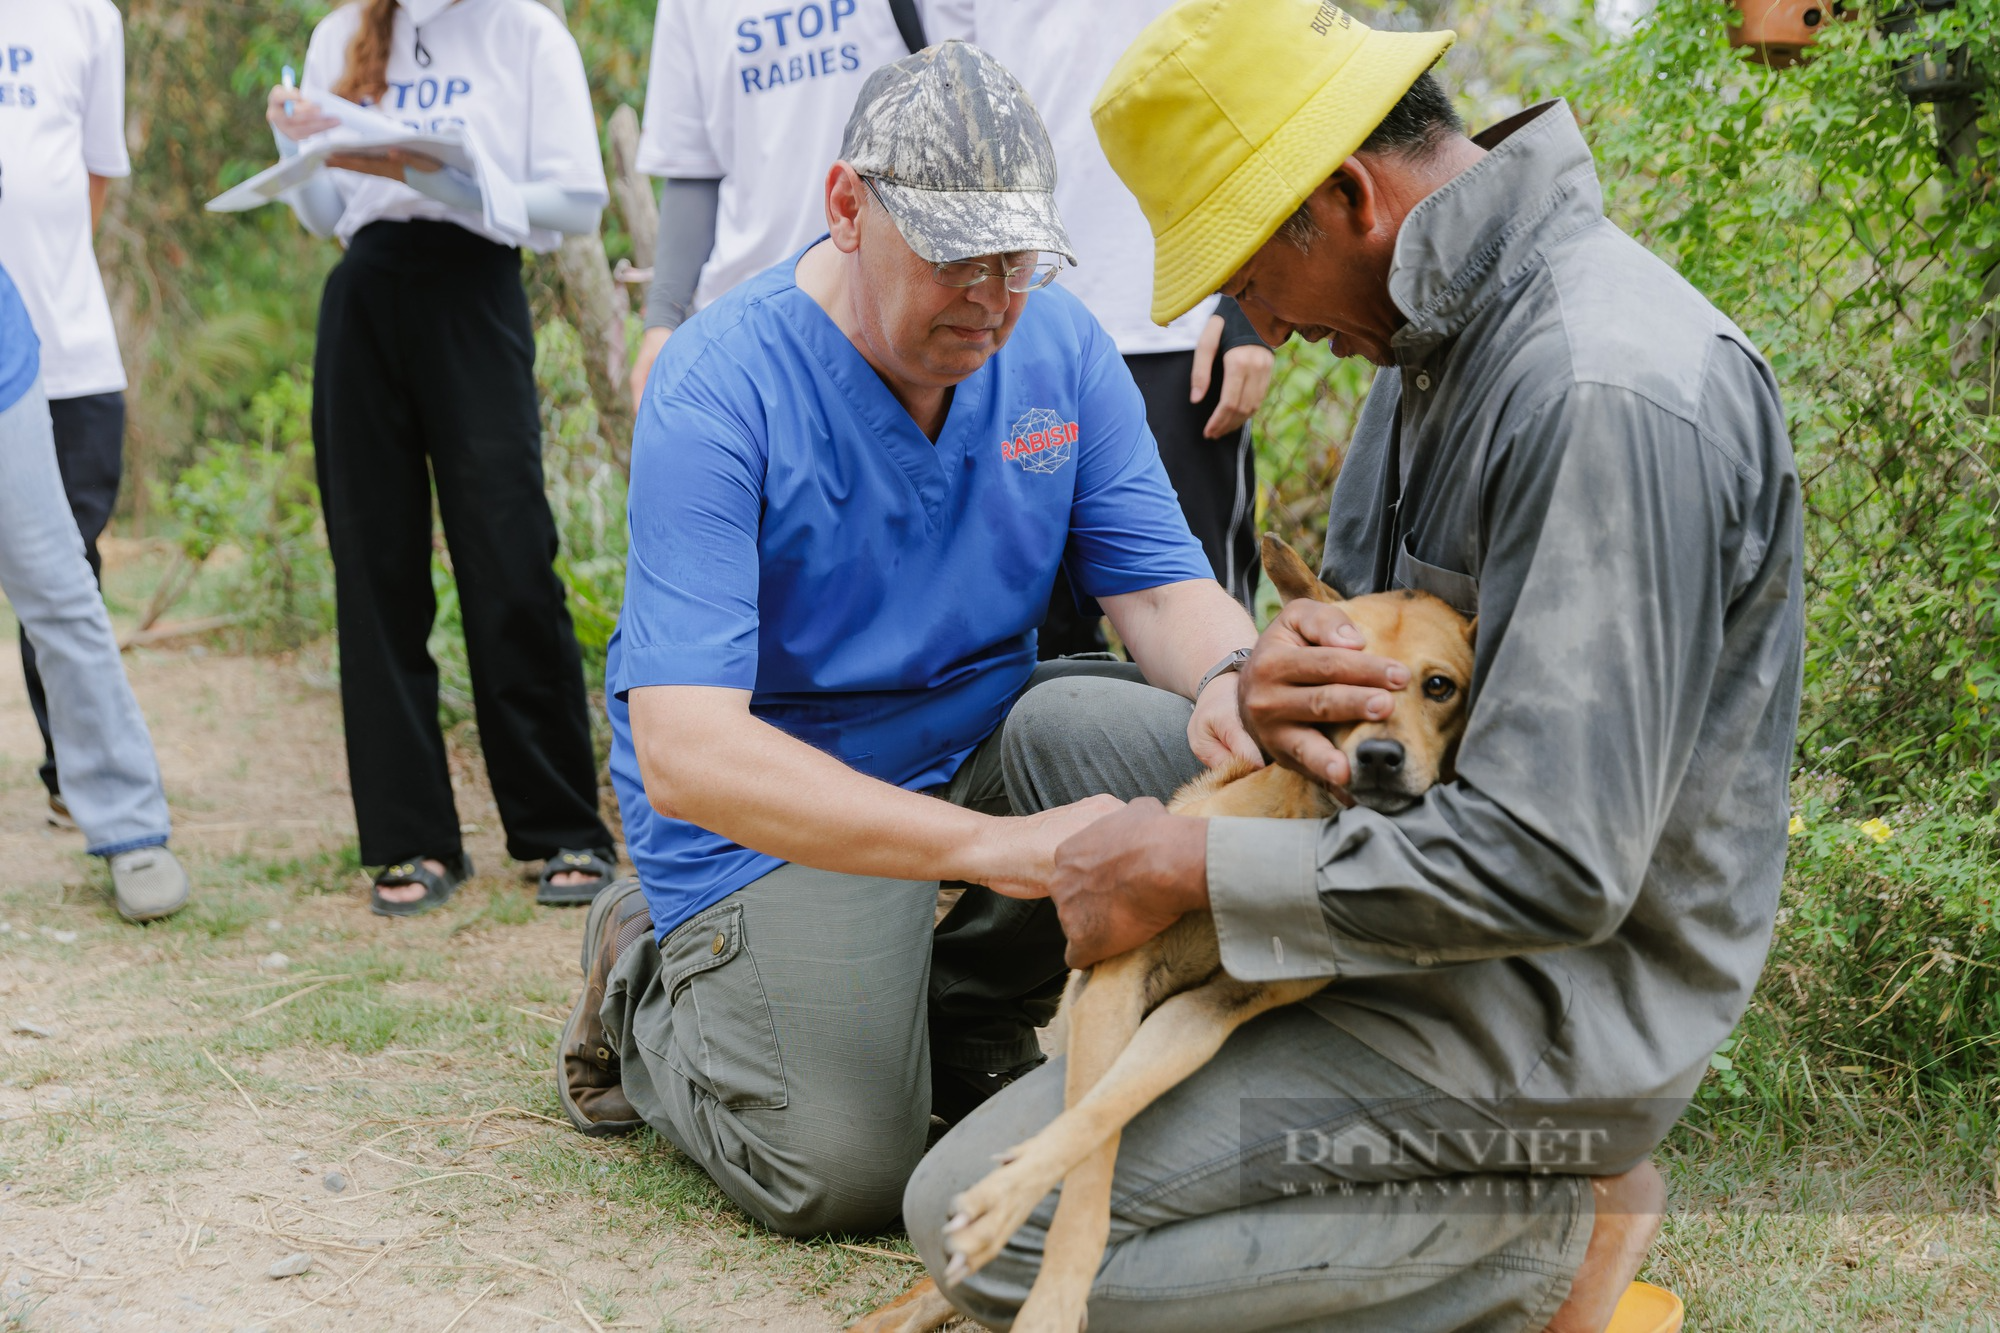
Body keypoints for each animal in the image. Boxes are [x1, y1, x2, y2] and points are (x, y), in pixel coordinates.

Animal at [852, 532, 1480, 1328]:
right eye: (1334, 680)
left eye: (1440, 686)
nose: (1378, 758)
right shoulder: (1117, 983)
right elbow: (1091, 1146)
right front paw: (1047, 1290)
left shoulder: (1205, 1014)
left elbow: (1103, 1116)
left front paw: (1025, 1237)